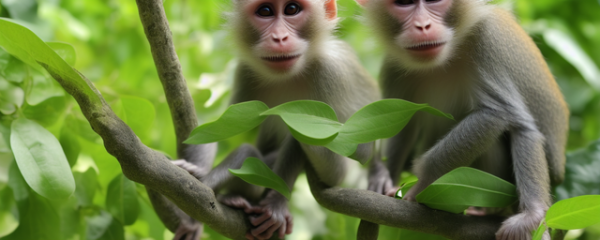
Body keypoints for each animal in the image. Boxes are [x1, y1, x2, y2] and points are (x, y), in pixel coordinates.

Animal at [172, 0, 380, 239]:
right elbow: (216, 128)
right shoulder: (245, 71)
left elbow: (347, 154)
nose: (279, 38)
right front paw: (196, 169)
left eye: (291, 9)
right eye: (265, 11)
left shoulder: (331, 75)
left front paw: (277, 203)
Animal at [356, 0, 568, 240]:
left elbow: (500, 114)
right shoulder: (394, 65)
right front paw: (382, 177)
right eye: (403, 3)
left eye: (434, 1)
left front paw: (422, 182)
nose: (423, 25)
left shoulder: (487, 41)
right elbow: (400, 126)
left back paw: (520, 214)